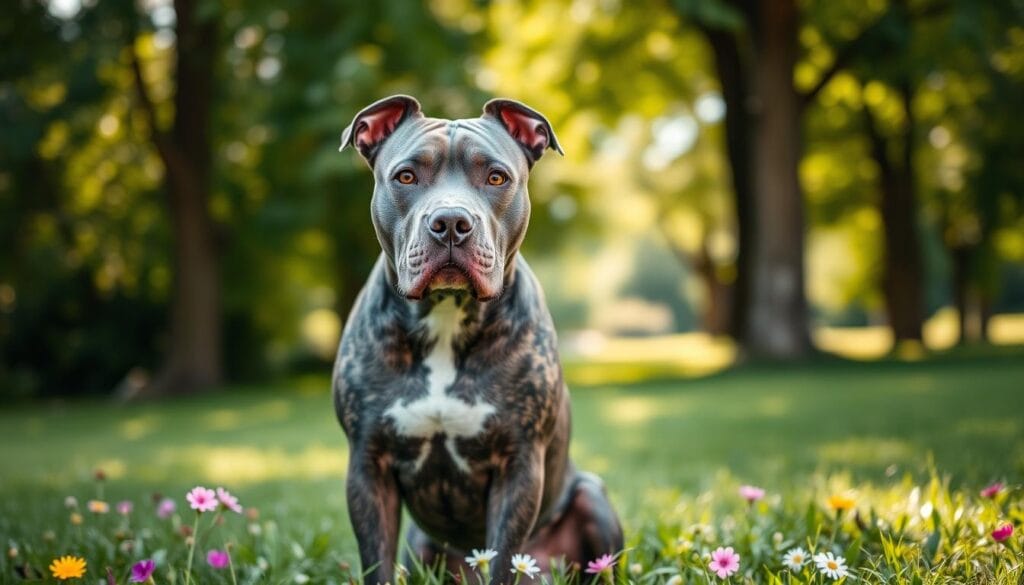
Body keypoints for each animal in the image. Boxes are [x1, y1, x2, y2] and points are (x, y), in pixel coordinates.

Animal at [335, 96, 622, 585]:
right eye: (406, 176)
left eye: (496, 177)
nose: (451, 221)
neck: (447, 315)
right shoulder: (368, 466)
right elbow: (377, 561)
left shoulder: (518, 466)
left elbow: (504, 558)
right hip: (421, 544)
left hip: (591, 497)